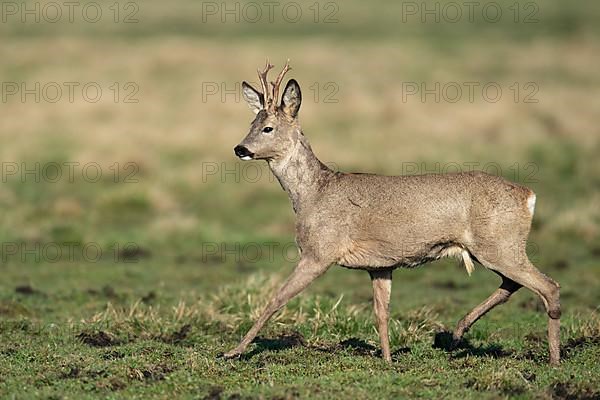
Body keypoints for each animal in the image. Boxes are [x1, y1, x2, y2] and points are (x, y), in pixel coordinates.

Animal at [223, 60, 560, 366]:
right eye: (250, 125)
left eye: (268, 128)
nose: (240, 148)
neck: (314, 193)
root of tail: (528, 195)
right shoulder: (380, 265)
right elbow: (381, 312)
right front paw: (386, 359)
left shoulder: (319, 251)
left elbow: (276, 299)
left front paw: (233, 351)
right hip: (493, 247)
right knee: (513, 284)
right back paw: (457, 333)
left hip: (498, 244)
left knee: (548, 286)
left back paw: (554, 359)